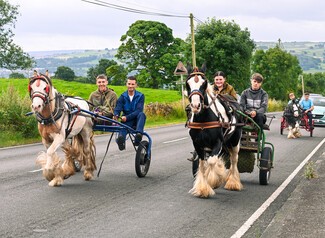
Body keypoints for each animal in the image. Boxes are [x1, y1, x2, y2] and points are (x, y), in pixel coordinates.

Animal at [186, 65, 242, 197]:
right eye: (187, 83)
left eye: (204, 83)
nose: (195, 106)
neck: (203, 120)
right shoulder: (197, 144)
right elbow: (202, 163)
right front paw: (202, 188)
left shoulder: (218, 142)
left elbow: (211, 161)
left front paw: (213, 182)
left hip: (235, 140)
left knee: (234, 159)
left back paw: (233, 182)